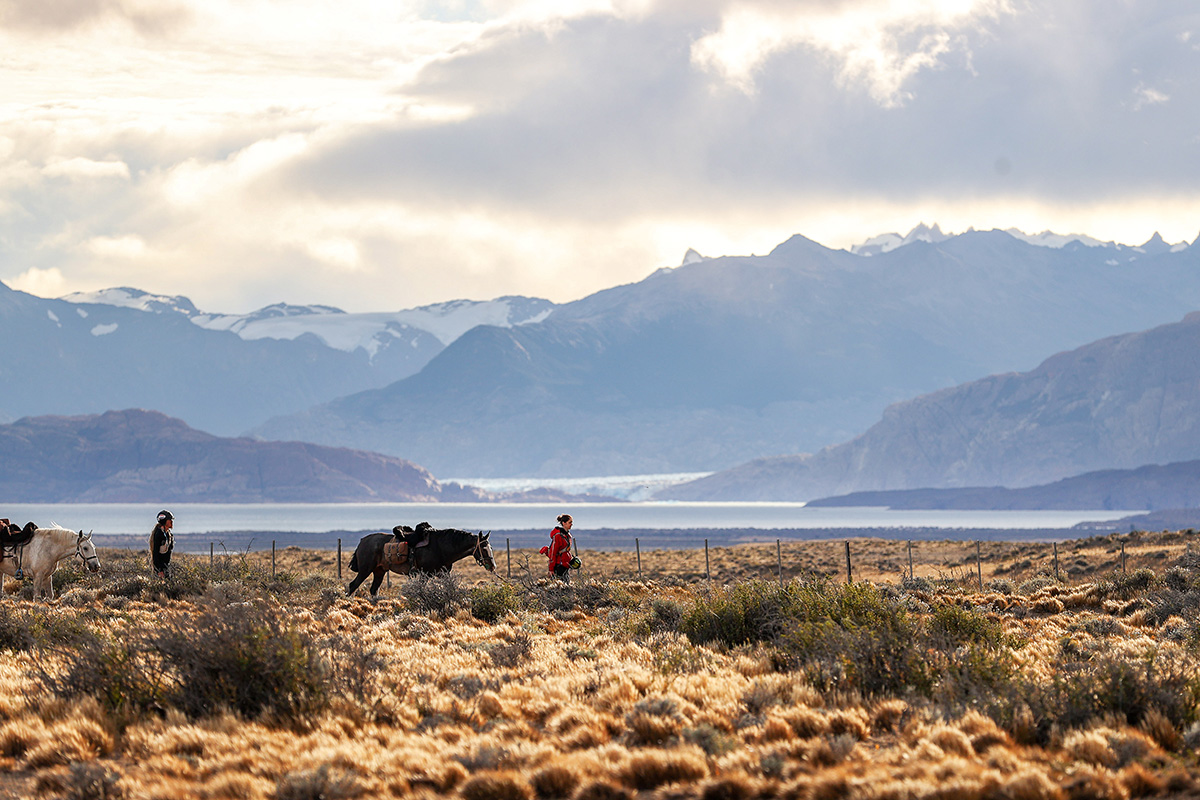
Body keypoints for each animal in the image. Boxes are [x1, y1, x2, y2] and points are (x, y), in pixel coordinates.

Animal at [348, 527, 496, 597]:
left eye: (490, 547)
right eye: (483, 548)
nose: (492, 566)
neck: (441, 547)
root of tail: (362, 542)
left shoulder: (443, 574)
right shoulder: (425, 574)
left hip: (379, 571)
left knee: (374, 590)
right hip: (365, 570)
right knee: (352, 585)